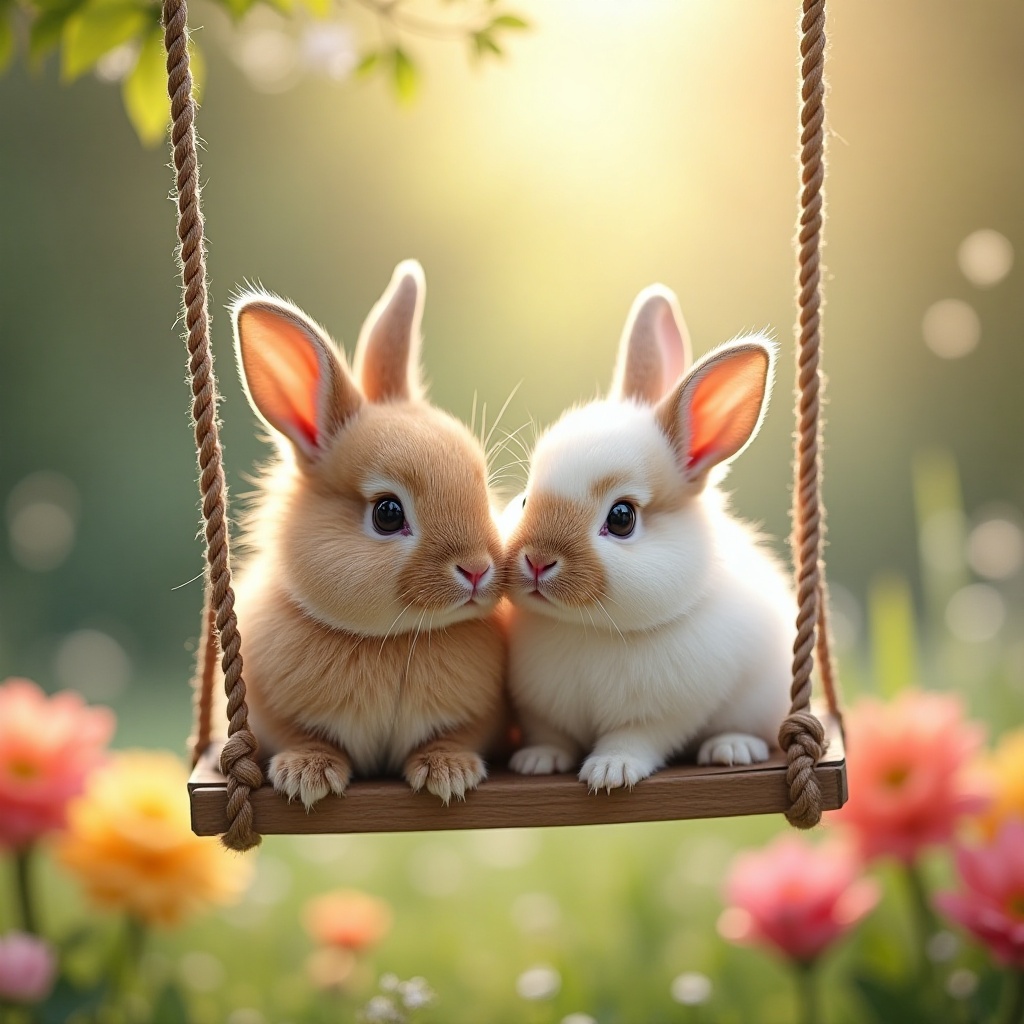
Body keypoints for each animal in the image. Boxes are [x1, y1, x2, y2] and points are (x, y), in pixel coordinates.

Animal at [228, 260, 507, 810]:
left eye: (483, 488)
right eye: (387, 513)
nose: (477, 569)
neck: (396, 639)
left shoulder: (480, 717)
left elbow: (456, 737)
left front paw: (447, 772)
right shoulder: (271, 712)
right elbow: (301, 738)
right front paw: (308, 775)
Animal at [502, 285, 795, 792]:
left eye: (622, 518)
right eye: (523, 500)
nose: (537, 561)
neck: (587, 629)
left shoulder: (663, 714)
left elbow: (634, 740)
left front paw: (610, 772)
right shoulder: (542, 711)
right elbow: (551, 736)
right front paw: (537, 761)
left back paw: (731, 749)